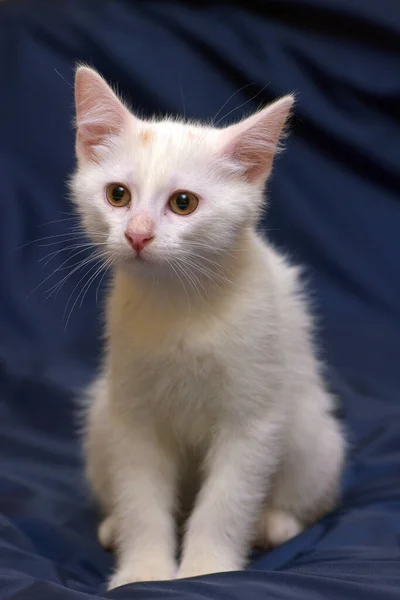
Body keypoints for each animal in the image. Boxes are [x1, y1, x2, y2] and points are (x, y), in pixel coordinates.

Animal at [71, 68, 344, 588]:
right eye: (118, 195)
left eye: (183, 203)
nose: (137, 234)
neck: (181, 306)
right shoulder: (132, 413)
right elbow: (141, 499)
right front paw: (144, 571)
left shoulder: (254, 417)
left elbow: (226, 502)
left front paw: (206, 570)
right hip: (100, 417)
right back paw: (114, 526)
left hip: (310, 430)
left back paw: (275, 523)